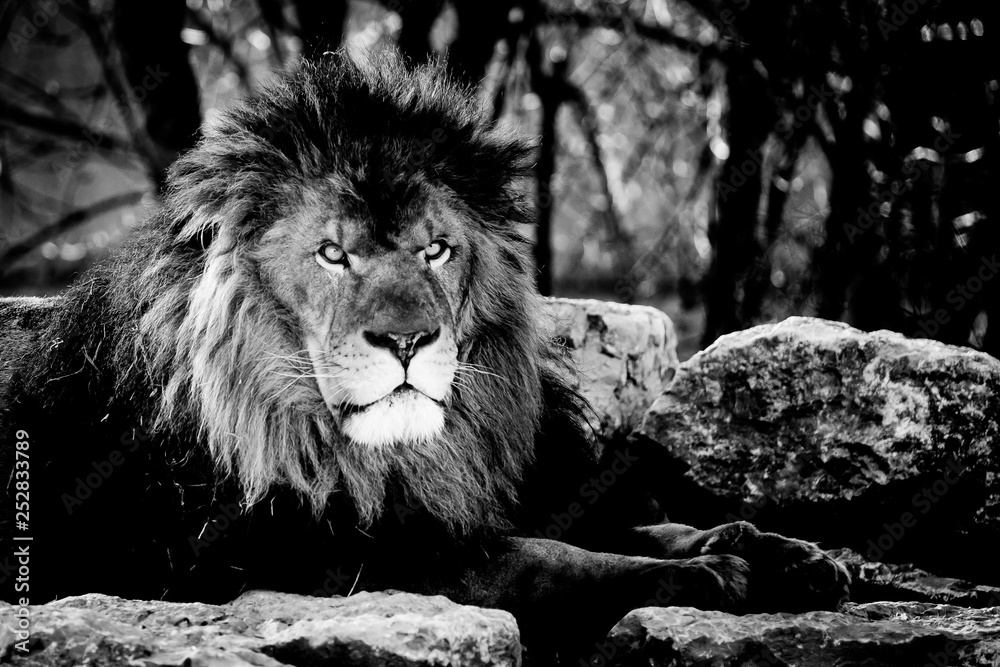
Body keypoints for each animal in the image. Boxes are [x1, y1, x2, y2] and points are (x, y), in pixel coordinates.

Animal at [1, 51, 848, 662]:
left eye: (434, 249)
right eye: (333, 254)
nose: (408, 340)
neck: (401, 455)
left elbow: (644, 525)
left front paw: (791, 553)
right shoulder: (332, 562)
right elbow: (543, 559)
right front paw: (701, 576)